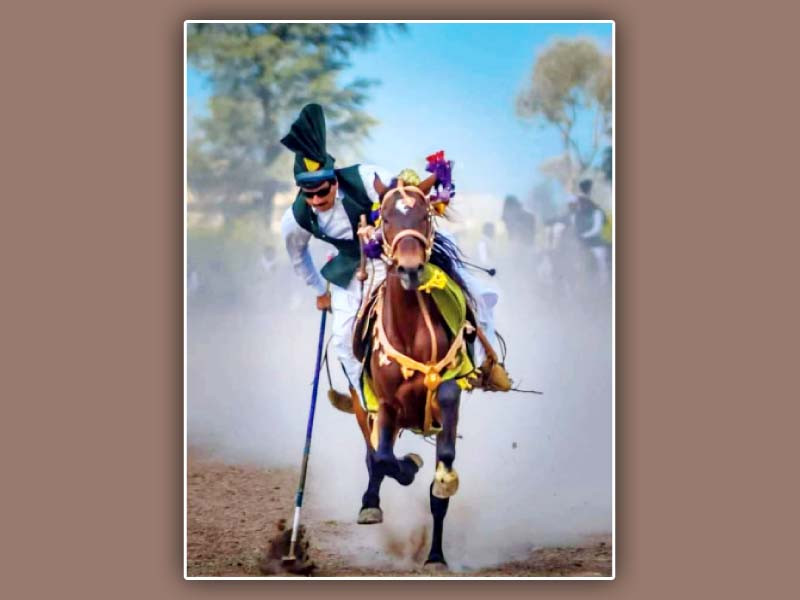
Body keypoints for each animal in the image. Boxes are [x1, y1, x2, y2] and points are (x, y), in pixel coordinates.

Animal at [346, 172, 472, 568]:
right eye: (386, 219)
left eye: (423, 217)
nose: (411, 268)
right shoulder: (385, 404)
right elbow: (384, 458)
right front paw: (408, 467)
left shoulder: (449, 393)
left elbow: (441, 476)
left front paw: (436, 556)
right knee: (373, 454)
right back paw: (371, 502)